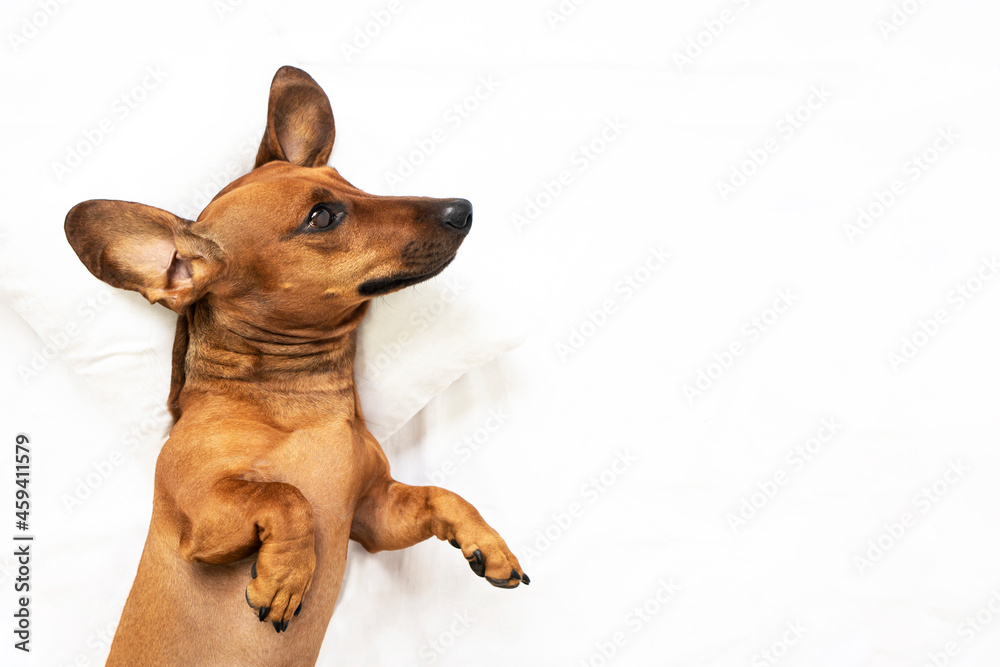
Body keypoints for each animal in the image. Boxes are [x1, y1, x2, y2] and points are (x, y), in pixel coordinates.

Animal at [65, 66, 528, 667]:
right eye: (321, 216)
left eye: (352, 185)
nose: (462, 209)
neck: (294, 401)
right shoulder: (202, 517)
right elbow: (287, 496)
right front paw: (285, 577)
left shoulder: (375, 515)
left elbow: (440, 495)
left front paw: (487, 543)